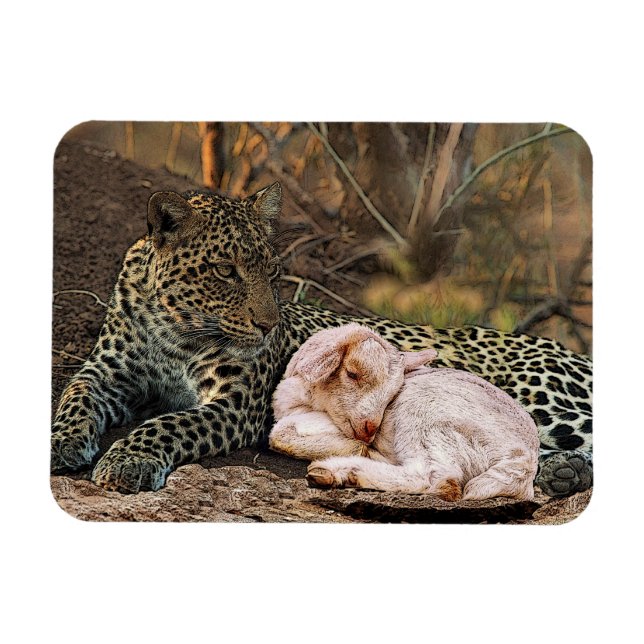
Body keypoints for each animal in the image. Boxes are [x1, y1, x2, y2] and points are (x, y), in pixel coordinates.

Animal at [269, 323, 539, 502]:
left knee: (440, 481)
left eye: (393, 392)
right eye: (352, 374)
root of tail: (524, 461)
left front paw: (357, 448)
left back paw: (339, 471)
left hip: (426, 414)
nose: (370, 430)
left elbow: (279, 433)